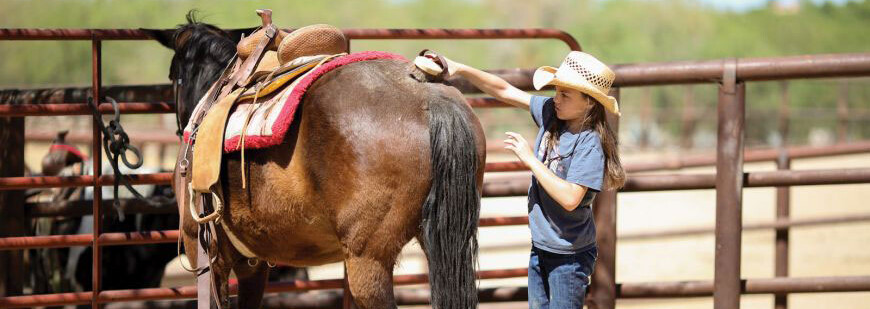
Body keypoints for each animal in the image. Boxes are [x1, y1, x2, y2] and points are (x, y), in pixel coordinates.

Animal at [150, 12, 490, 308]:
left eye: (171, 74)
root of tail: (427, 96)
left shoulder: (204, 250)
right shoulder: (253, 264)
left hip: (368, 261)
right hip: (443, 242)